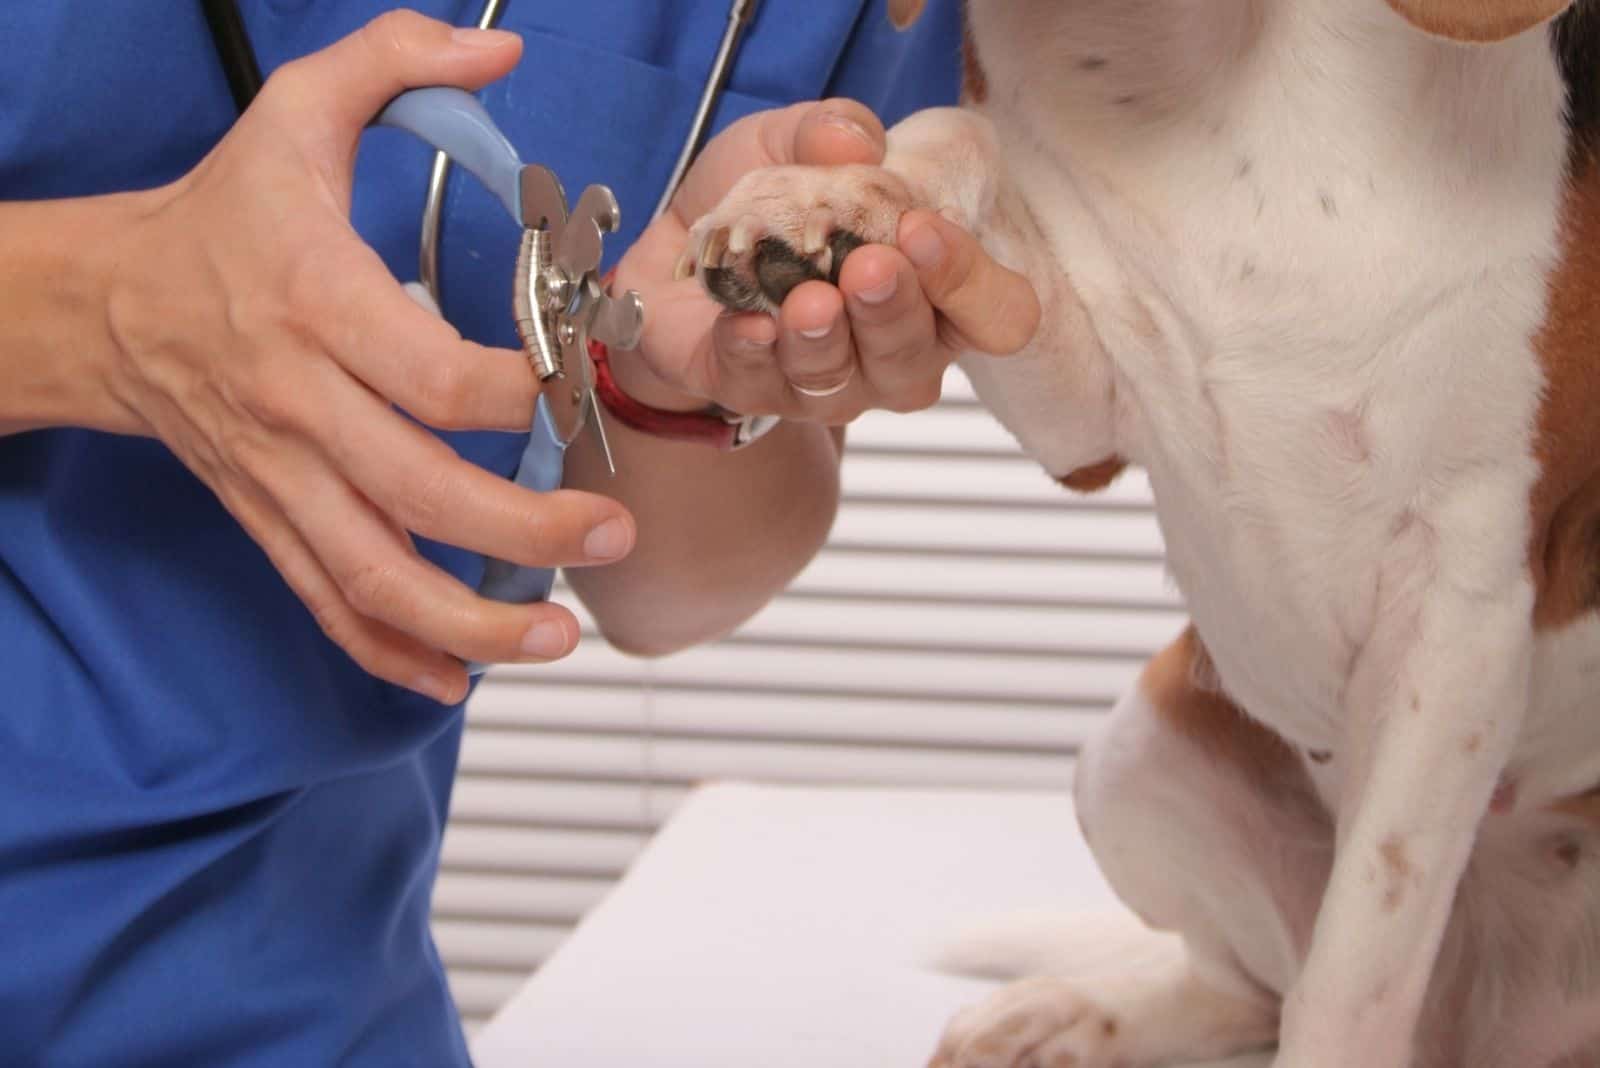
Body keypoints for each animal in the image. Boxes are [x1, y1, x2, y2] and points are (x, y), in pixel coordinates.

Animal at [681, 2, 1600, 1068]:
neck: (1210, 64)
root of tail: (1482, 1030)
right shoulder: (1088, 416)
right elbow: (960, 130)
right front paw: (836, 195)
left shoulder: (1458, 617)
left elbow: (1347, 989)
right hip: (1134, 747)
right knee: (1247, 992)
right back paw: (1066, 1020)